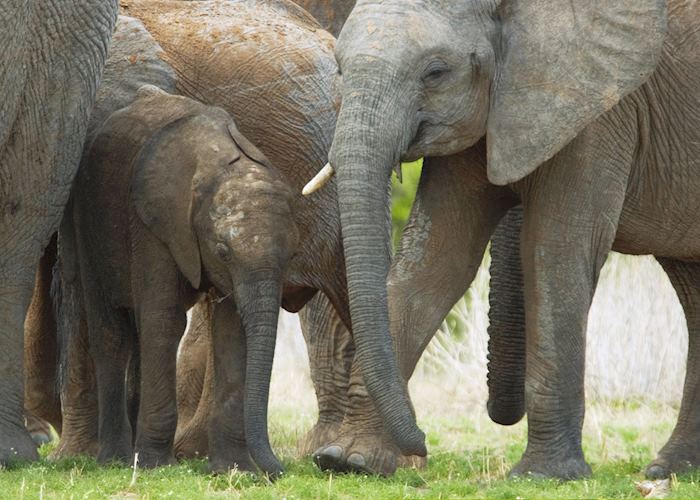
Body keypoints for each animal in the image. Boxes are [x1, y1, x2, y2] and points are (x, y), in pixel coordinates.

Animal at [304, 0, 700, 480]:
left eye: (435, 72)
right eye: (341, 69)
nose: (424, 441)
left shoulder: (601, 110)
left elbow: (556, 254)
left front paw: (544, 476)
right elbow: (437, 259)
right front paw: (349, 461)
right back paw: (671, 470)